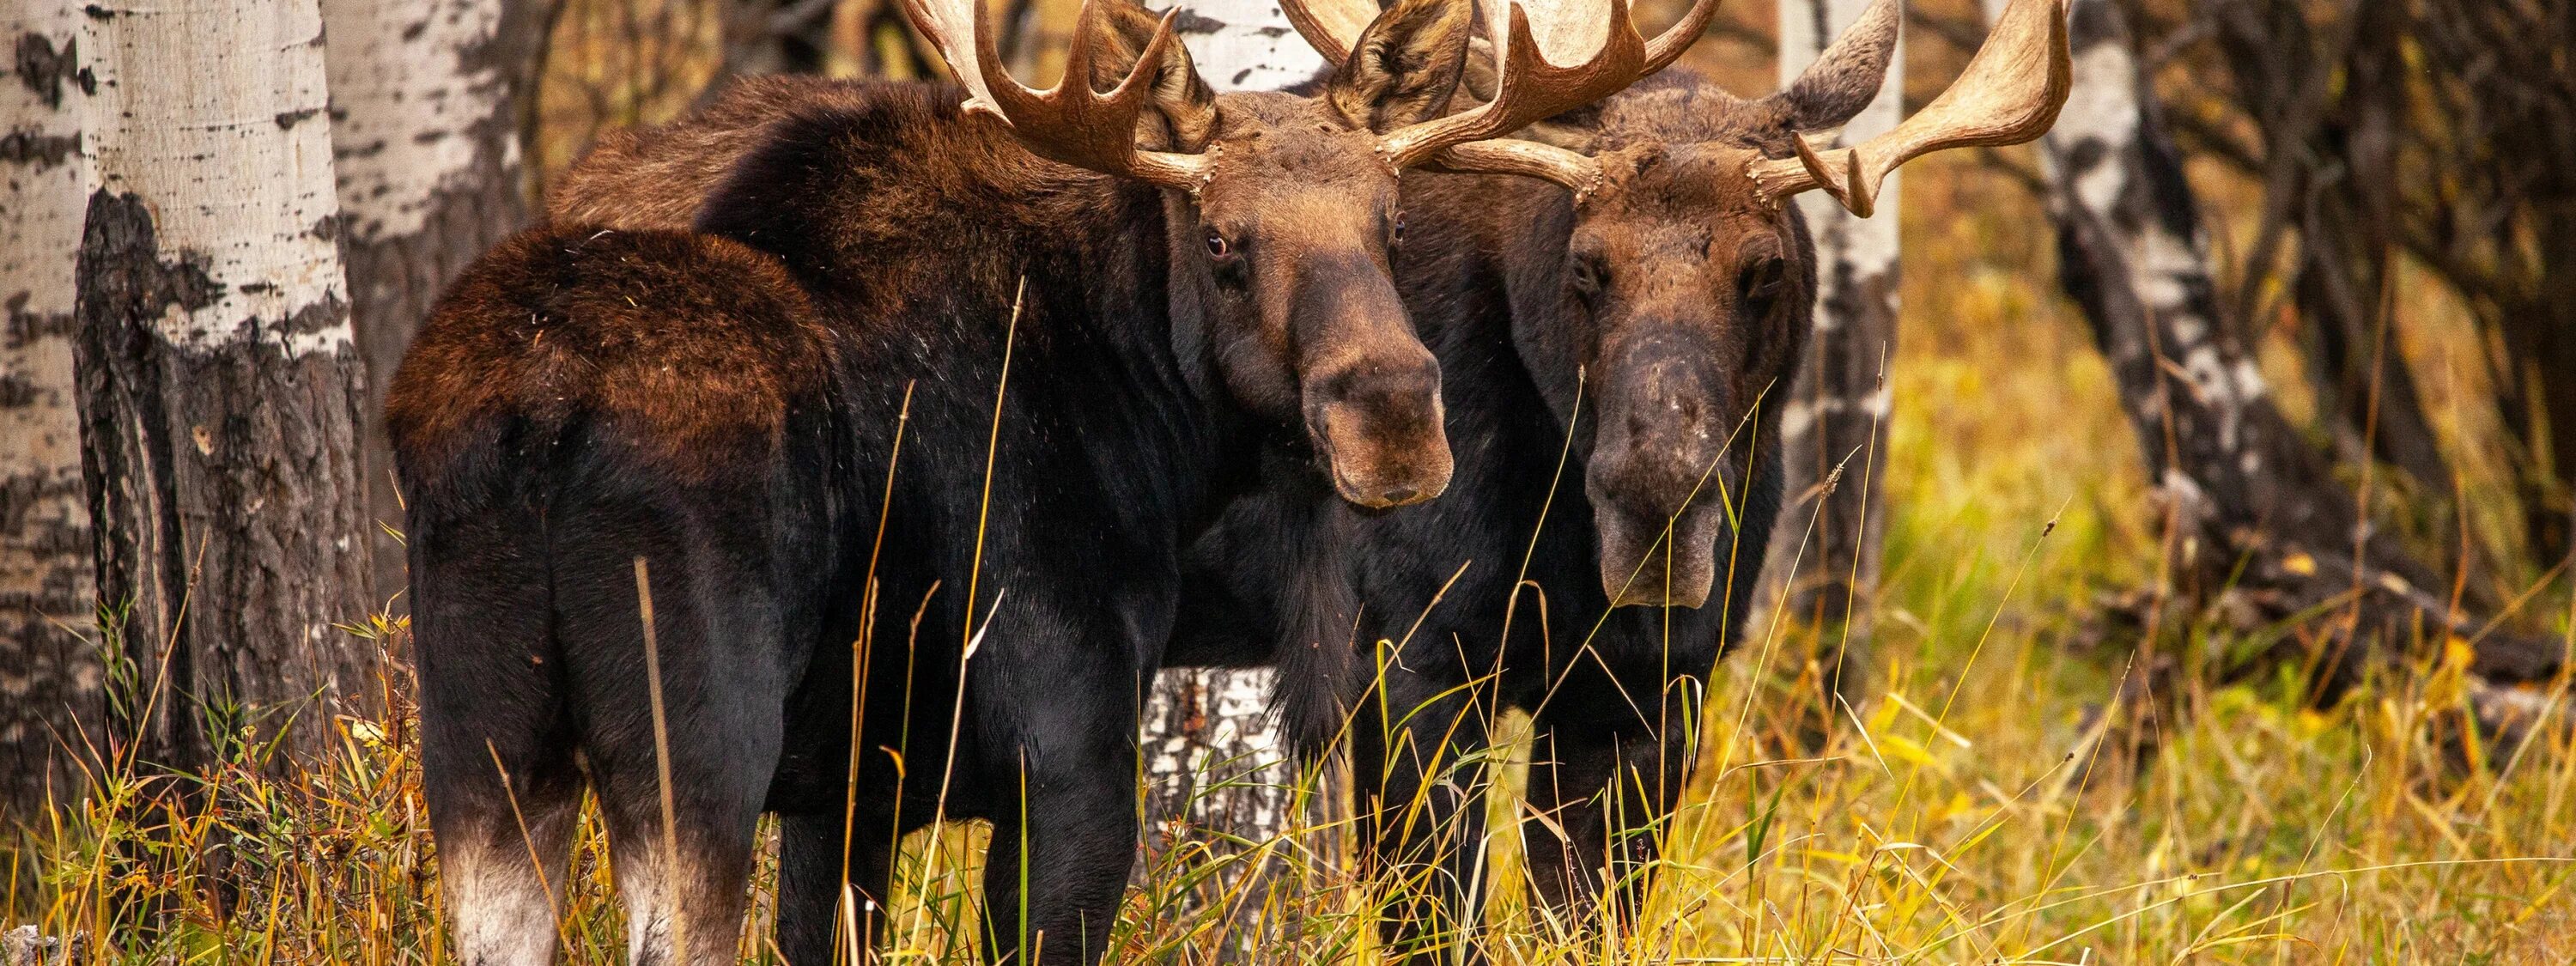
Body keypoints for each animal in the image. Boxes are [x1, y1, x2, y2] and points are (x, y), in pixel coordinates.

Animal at [381, 0, 1690, 963]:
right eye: (1223, 242)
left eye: (1391, 223)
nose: (1395, 422)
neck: (1142, 420)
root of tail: (540, 414)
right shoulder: (1070, 760)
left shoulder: (849, 793)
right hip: (693, 734)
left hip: (484, 741)